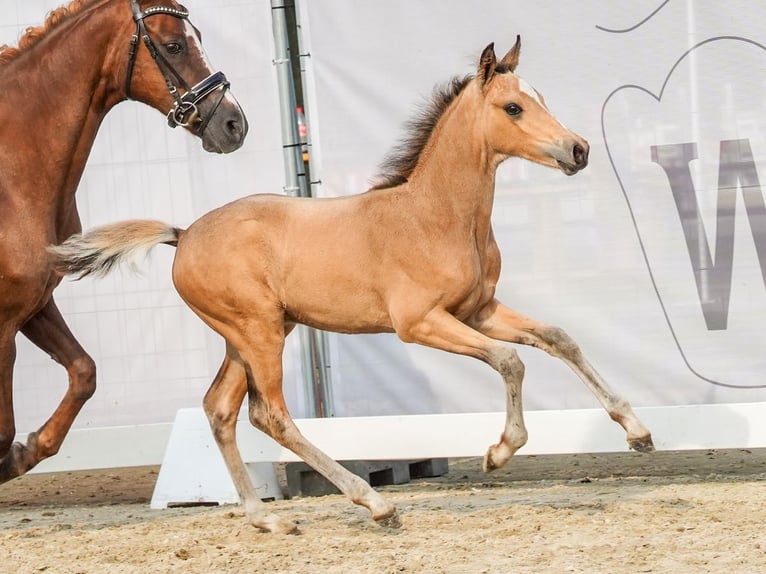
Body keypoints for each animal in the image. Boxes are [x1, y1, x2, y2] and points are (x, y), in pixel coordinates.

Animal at [0, 0, 249, 484]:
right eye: (174, 45)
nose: (234, 124)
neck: (11, 173)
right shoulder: (4, 322)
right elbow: (3, 427)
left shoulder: (33, 305)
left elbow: (84, 372)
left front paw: (26, 452)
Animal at [51, 37, 656, 536]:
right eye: (513, 107)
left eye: (541, 97)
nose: (577, 150)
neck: (437, 214)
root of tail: (184, 235)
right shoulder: (420, 323)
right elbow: (510, 361)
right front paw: (499, 451)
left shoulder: (479, 309)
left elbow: (558, 338)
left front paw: (638, 432)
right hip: (258, 333)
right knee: (270, 415)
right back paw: (376, 504)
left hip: (249, 336)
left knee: (220, 410)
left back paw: (266, 519)